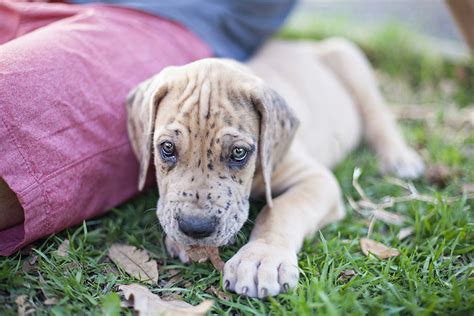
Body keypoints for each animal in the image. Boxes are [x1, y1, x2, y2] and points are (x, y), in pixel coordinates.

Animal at [125, 38, 422, 298]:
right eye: (167, 148)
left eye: (239, 153)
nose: (195, 228)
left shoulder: (316, 180)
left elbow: (280, 209)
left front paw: (261, 258)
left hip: (350, 60)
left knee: (378, 116)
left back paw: (400, 158)